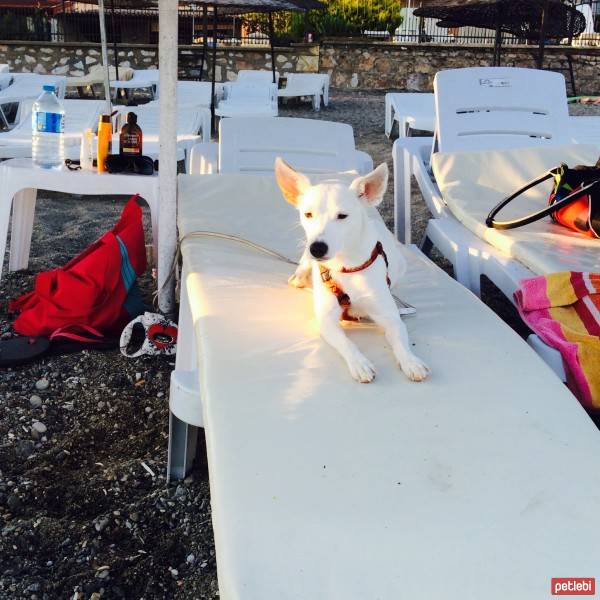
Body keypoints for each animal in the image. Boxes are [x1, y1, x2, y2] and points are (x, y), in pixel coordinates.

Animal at [274, 158, 428, 384]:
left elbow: (401, 339)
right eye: (308, 214)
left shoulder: (390, 316)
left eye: (342, 216)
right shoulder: (326, 320)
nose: (317, 248)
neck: (346, 267)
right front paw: (359, 363)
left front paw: (411, 361)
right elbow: (346, 343)